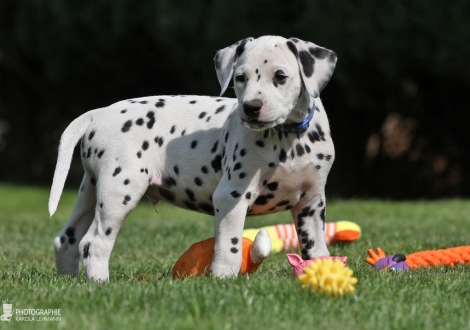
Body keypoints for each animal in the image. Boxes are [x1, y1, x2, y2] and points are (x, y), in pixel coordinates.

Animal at [49, 35, 336, 282]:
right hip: (119, 192)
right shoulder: (232, 196)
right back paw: (100, 283)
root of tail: (99, 113)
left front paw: (323, 272)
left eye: (280, 77)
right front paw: (223, 279)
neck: (289, 137)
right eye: (240, 78)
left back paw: (70, 282)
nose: (251, 108)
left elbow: (317, 249)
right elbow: (230, 245)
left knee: (66, 239)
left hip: (92, 190)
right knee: (93, 243)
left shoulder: (311, 204)